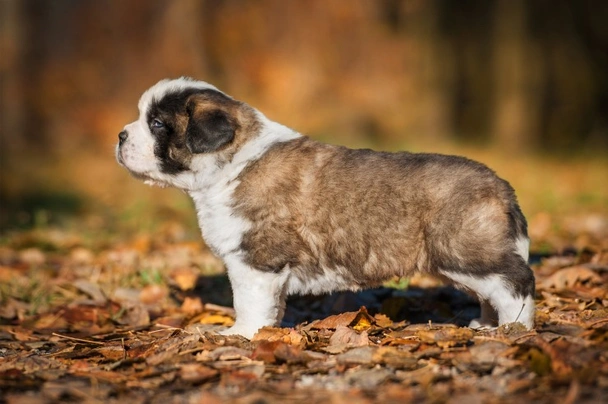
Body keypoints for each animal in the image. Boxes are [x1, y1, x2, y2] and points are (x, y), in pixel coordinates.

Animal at [116, 76, 536, 338]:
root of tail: (502, 186)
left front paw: (241, 334)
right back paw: (487, 324)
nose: (120, 136)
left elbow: (248, 301)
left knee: (516, 281)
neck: (231, 162)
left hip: (465, 251)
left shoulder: (255, 260)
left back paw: (514, 327)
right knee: (493, 289)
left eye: (157, 124)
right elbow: (271, 304)